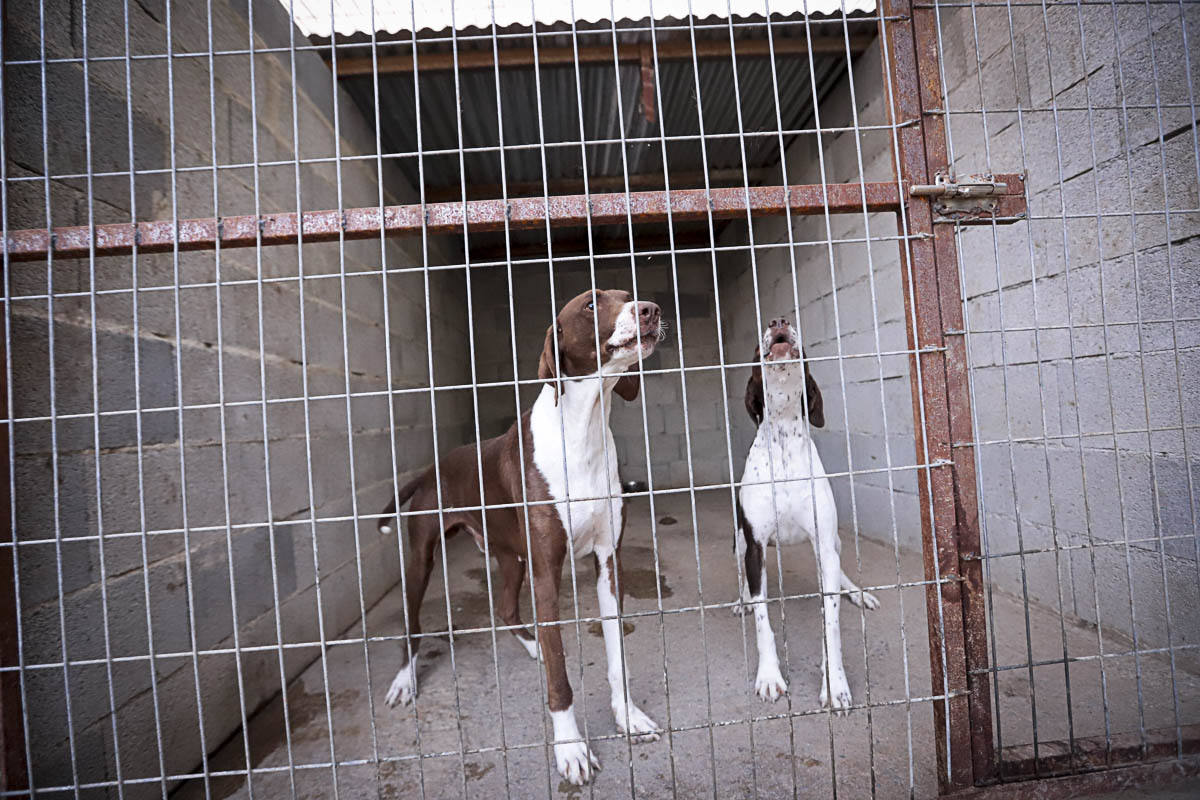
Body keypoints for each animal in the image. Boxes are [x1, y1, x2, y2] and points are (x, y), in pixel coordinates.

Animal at [379, 291, 662, 786]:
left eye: (627, 298)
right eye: (591, 304)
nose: (651, 309)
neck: (583, 429)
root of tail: (433, 468)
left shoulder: (609, 563)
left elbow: (616, 658)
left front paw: (627, 716)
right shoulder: (547, 573)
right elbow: (561, 679)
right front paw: (570, 748)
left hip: (512, 558)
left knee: (506, 608)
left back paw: (533, 647)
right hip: (421, 559)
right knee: (413, 625)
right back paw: (404, 679)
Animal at [729, 319, 883, 714]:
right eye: (757, 347)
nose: (778, 321)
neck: (784, 437)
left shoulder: (825, 543)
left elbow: (831, 622)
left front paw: (835, 685)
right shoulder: (755, 546)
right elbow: (763, 619)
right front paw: (769, 676)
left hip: (833, 544)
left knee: (839, 574)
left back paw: (858, 592)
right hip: (739, 543)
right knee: (746, 581)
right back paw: (741, 602)